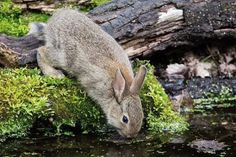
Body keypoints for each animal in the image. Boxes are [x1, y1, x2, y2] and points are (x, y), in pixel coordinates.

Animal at [32, 9, 147, 138]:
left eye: (142, 116)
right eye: (125, 119)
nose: (131, 136)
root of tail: (52, 22)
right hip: (63, 56)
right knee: (41, 51)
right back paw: (54, 74)